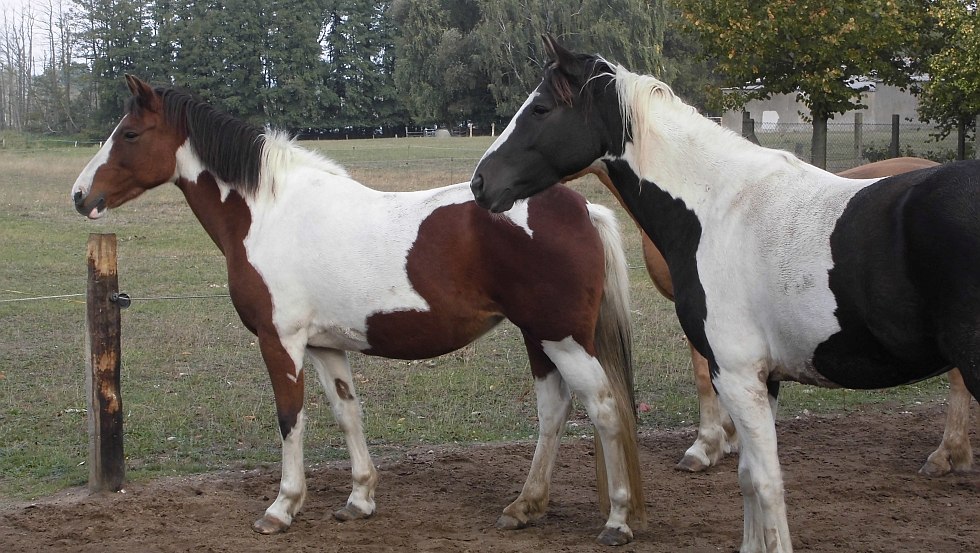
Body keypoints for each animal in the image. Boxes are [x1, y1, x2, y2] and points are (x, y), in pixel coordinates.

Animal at [72, 73, 648, 544]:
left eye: (129, 134)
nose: (80, 195)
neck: (269, 212)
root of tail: (582, 206)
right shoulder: (325, 347)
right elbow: (347, 413)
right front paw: (359, 499)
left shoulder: (280, 342)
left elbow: (291, 418)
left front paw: (282, 508)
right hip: (539, 336)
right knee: (554, 409)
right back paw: (525, 507)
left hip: (561, 338)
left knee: (604, 408)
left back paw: (617, 521)